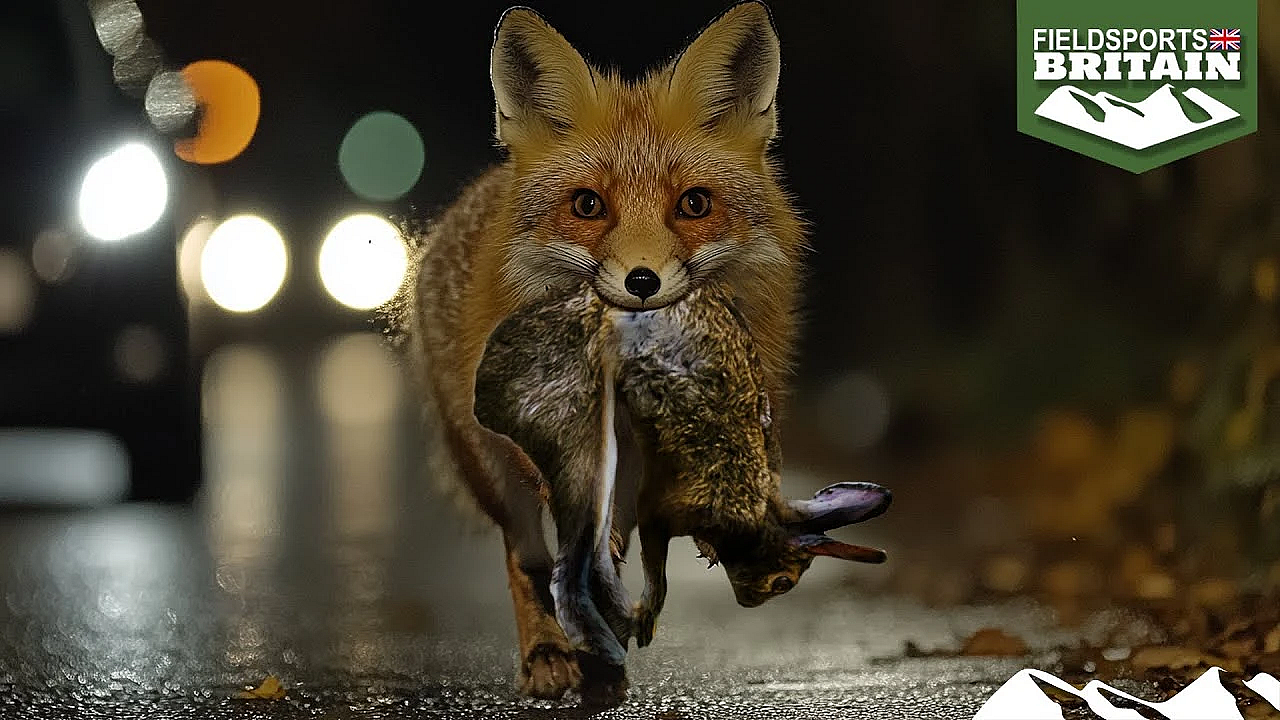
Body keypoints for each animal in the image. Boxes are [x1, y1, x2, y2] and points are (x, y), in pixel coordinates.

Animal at [398, 1, 806, 702]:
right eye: (588, 205)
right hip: (490, 468)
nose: (642, 280)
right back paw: (550, 651)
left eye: (693, 204)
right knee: (530, 559)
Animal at [473, 281, 892, 684]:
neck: (755, 510)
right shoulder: (660, 516)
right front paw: (639, 623)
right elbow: (658, 577)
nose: (749, 603)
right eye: (783, 583)